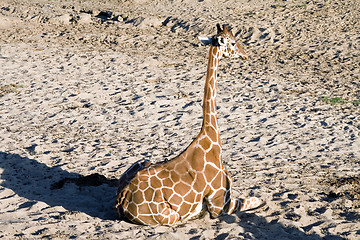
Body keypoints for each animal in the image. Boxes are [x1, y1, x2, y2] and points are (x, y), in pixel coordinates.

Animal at [116, 23, 264, 226]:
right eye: (233, 42)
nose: (245, 54)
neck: (211, 137)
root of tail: (122, 198)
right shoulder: (220, 204)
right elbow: (255, 200)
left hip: (142, 161)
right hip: (170, 216)